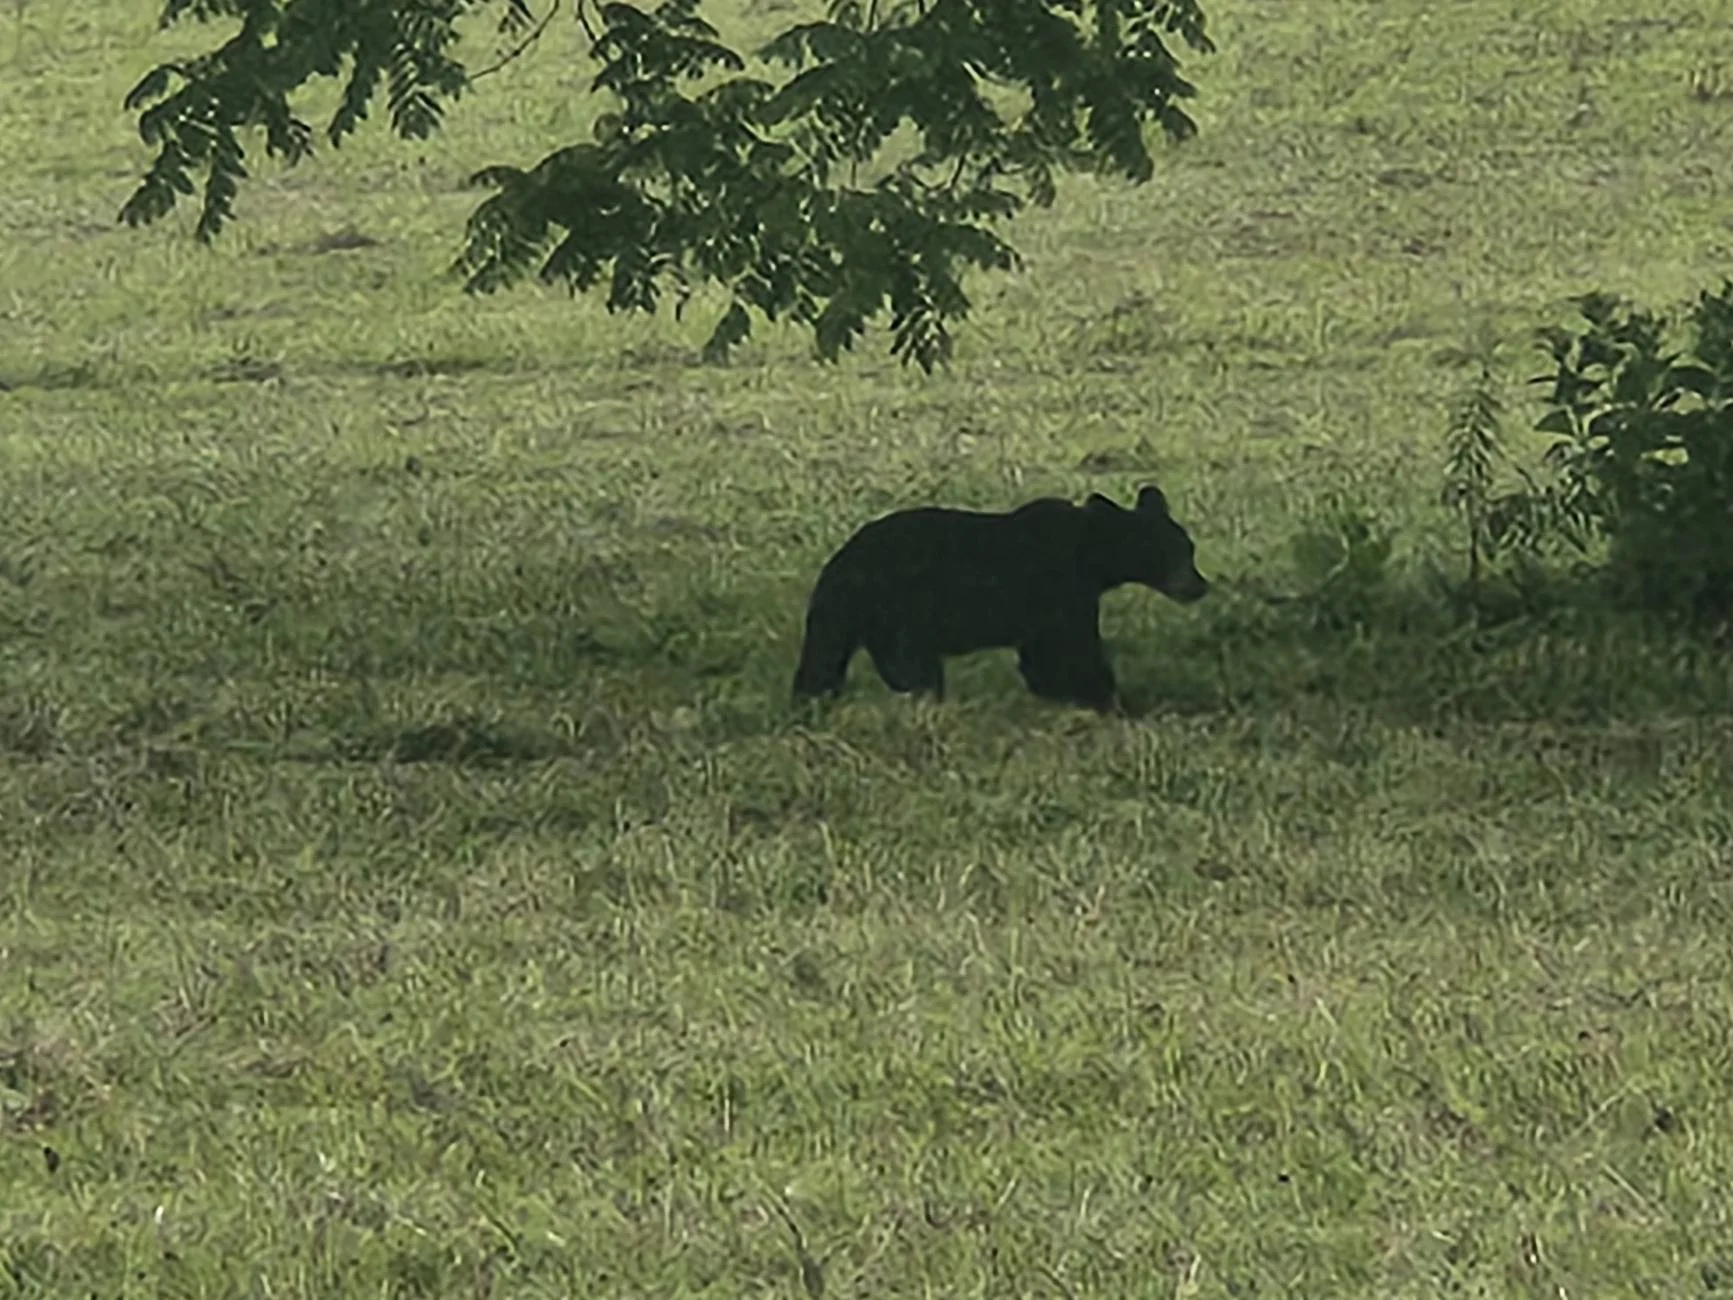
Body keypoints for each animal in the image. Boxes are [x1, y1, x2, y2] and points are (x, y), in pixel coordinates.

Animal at [791, 483, 1208, 712]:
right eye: (1171, 553)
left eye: (1189, 548)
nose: (1199, 585)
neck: (1091, 558)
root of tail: (839, 564)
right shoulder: (1059, 589)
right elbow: (1069, 652)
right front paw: (1111, 700)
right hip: (899, 612)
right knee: (912, 668)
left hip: (854, 619)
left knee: (825, 662)